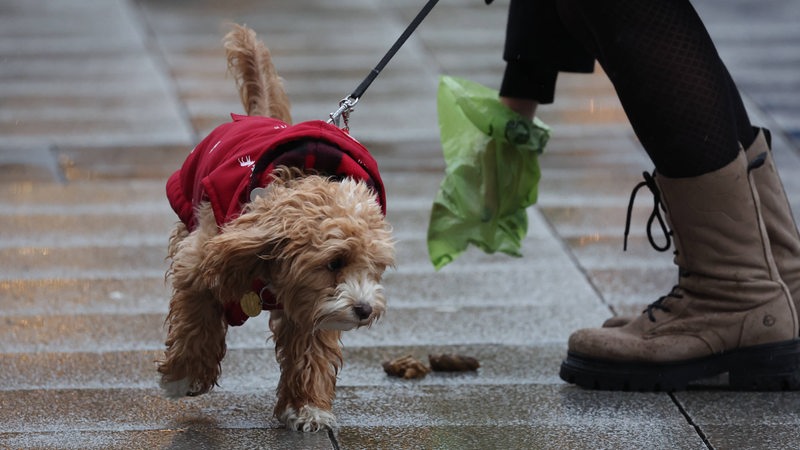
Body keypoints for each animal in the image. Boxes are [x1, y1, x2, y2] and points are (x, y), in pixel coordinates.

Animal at [156, 24, 394, 432]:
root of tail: (259, 117)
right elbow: (196, 317)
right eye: (335, 262)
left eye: (375, 267)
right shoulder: (201, 260)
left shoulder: (314, 304)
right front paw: (183, 375)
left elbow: (311, 351)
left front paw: (308, 406)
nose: (364, 310)